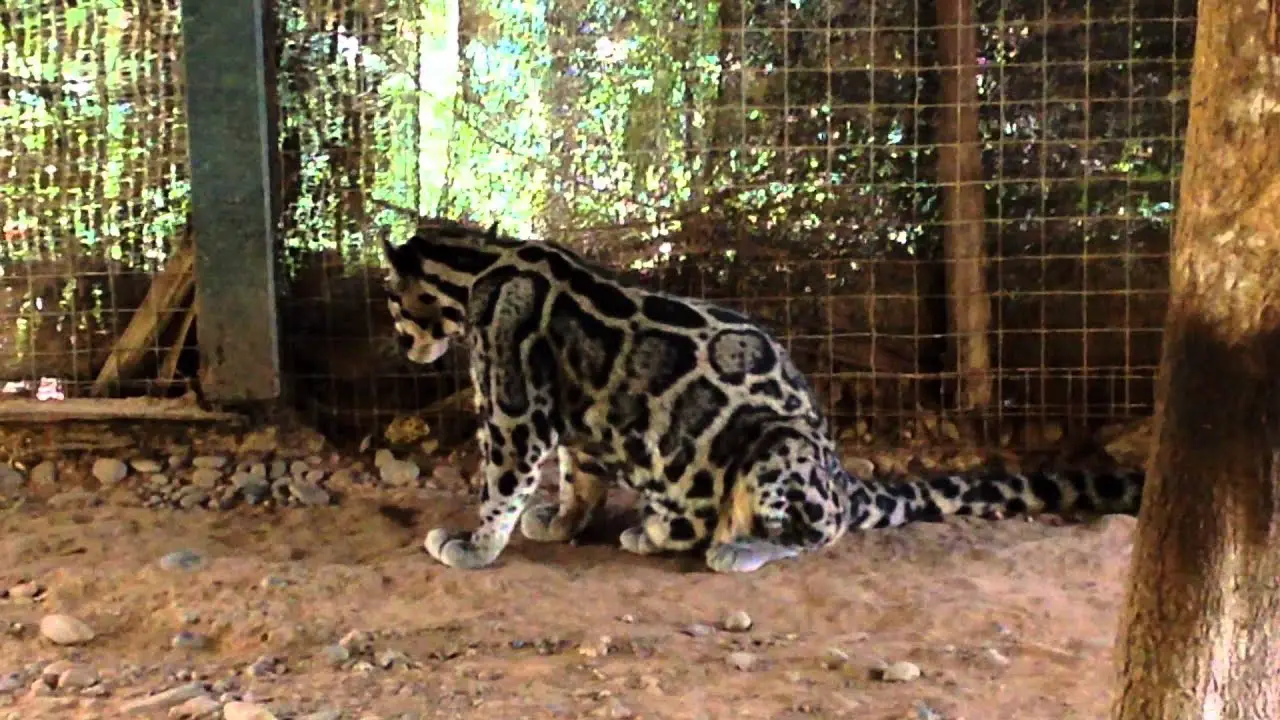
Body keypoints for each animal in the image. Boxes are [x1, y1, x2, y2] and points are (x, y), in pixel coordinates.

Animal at [380, 218, 1145, 573]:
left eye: (389, 299)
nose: (399, 341)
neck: (479, 268)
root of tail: (841, 475)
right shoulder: (577, 417)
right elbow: (581, 476)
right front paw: (563, 522)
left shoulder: (513, 407)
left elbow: (501, 484)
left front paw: (474, 546)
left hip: (778, 447)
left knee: (819, 531)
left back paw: (729, 545)